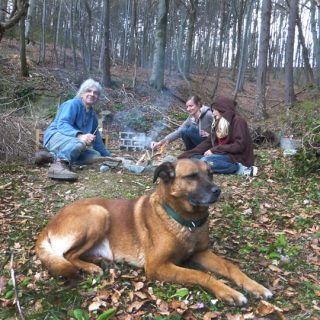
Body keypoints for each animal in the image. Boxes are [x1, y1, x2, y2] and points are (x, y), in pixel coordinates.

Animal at [35, 159, 272, 304]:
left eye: (211, 174)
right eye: (192, 176)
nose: (218, 191)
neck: (186, 222)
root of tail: (48, 224)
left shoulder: (200, 253)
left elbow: (230, 266)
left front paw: (255, 286)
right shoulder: (157, 266)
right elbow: (200, 275)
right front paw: (228, 292)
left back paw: (99, 261)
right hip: (98, 213)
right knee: (67, 255)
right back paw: (91, 267)